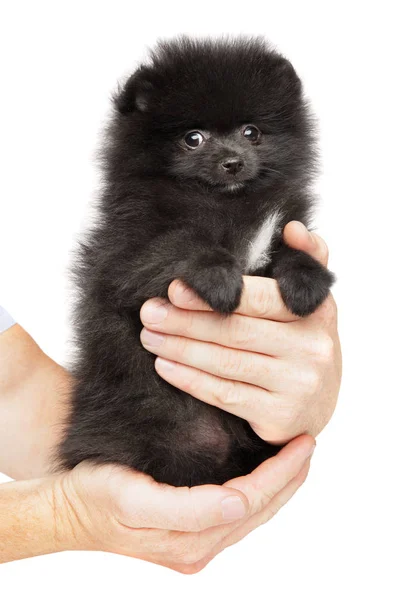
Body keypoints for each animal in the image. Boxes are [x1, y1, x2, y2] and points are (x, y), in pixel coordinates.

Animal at [57, 36, 332, 488]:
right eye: (193, 138)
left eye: (252, 132)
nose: (233, 161)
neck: (226, 206)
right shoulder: (124, 249)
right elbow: (181, 243)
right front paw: (220, 278)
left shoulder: (287, 222)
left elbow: (291, 249)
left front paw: (307, 281)